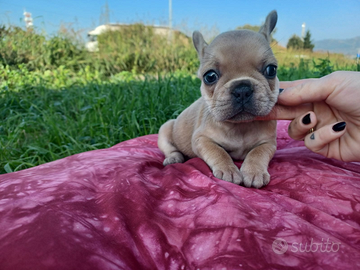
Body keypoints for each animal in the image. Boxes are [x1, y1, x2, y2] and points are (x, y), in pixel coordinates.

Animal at [159, 10, 280, 188]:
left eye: (271, 70)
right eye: (210, 76)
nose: (242, 89)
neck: (241, 127)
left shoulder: (269, 143)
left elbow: (258, 152)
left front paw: (254, 171)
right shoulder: (201, 139)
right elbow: (218, 151)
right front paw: (228, 169)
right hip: (166, 128)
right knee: (170, 147)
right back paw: (174, 157)